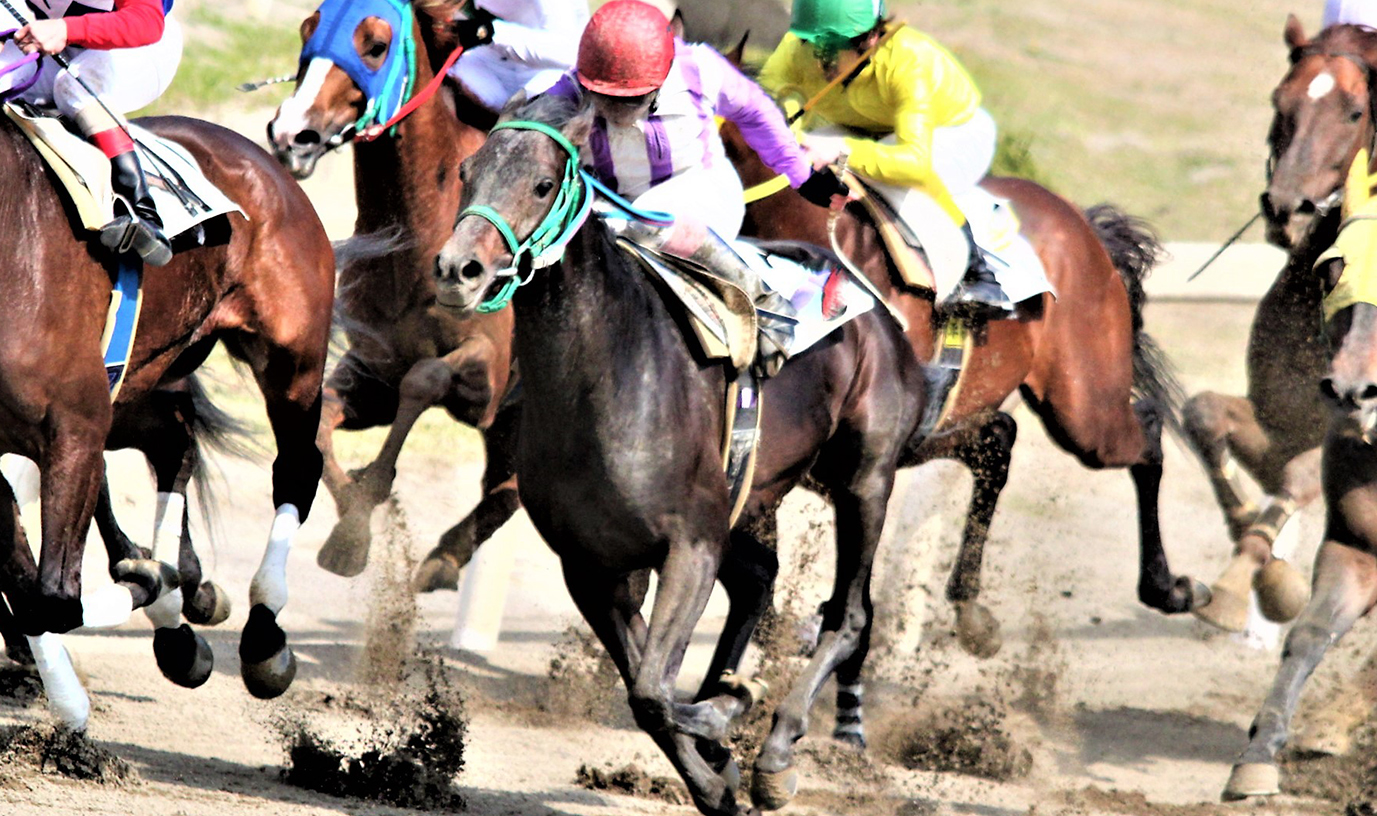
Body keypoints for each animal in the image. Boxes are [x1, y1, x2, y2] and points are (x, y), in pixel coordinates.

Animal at [0, 103, 333, 699]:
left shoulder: (75, 429)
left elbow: (54, 601)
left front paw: (155, 580)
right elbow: (25, 591)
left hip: (292, 359)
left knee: (296, 467)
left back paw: (262, 635)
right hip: (141, 377)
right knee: (174, 441)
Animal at [268, 0, 520, 588]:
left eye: (376, 45)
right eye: (308, 30)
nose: (292, 135)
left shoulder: (490, 379)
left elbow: (426, 376)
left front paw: (369, 496)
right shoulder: (371, 372)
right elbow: (323, 418)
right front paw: (350, 532)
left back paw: (445, 558)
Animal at [429, 95, 925, 814]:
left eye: (543, 184)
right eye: (466, 172)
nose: (455, 270)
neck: (608, 375)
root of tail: (871, 302)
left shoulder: (689, 545)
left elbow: (653, 691)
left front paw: (724, 717)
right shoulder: (593, 567)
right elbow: (646, 690)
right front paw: (715, 773)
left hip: (863, 478)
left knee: (850, 613)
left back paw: (776, 751)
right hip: (755, 493)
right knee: (758, 581)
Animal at [1178, 14, 1377, 635]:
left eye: (1354, 112)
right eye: (1279, 100)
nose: (1288, 208)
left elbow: (1297, 478)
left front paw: (1234, 589)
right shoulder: (1278, 420)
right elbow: (1204, 415)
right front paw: (1270, 577)